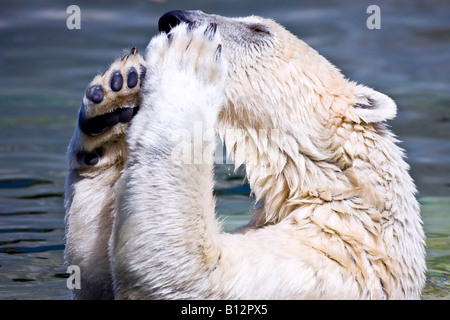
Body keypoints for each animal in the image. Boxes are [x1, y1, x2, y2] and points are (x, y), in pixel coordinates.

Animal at [63, 10, 426, 300]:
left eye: (258, 29)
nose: (172, 16)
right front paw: (114, 100)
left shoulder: (316, 268)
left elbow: (186, 272)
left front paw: (186, 57)